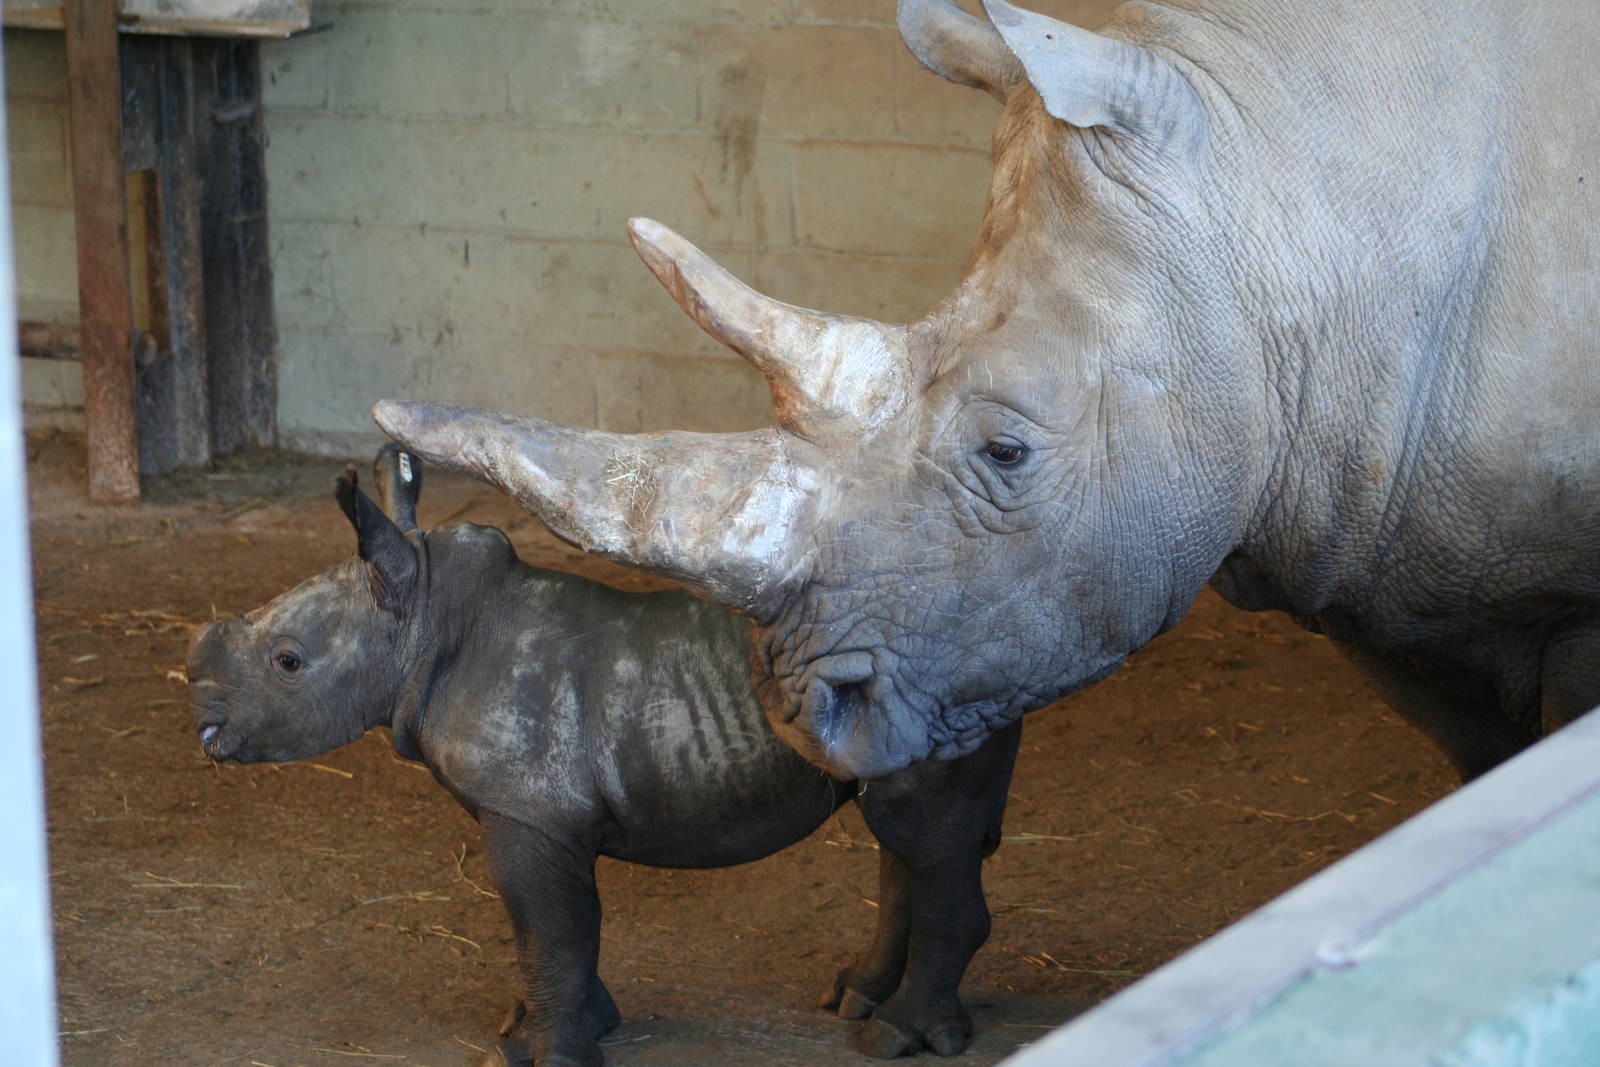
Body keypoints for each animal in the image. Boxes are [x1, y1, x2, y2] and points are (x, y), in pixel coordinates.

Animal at [185, 447, 1022, 1065]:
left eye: (288, 661)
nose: (200, 709)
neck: (424, 615)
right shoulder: (540, 813)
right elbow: (562, 930)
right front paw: (561, 1028)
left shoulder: (528, 811)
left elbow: (548, 929)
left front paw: (549, 1054)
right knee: (907, 836)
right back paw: (854, 998)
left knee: (921, 835)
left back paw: (893, 1035)